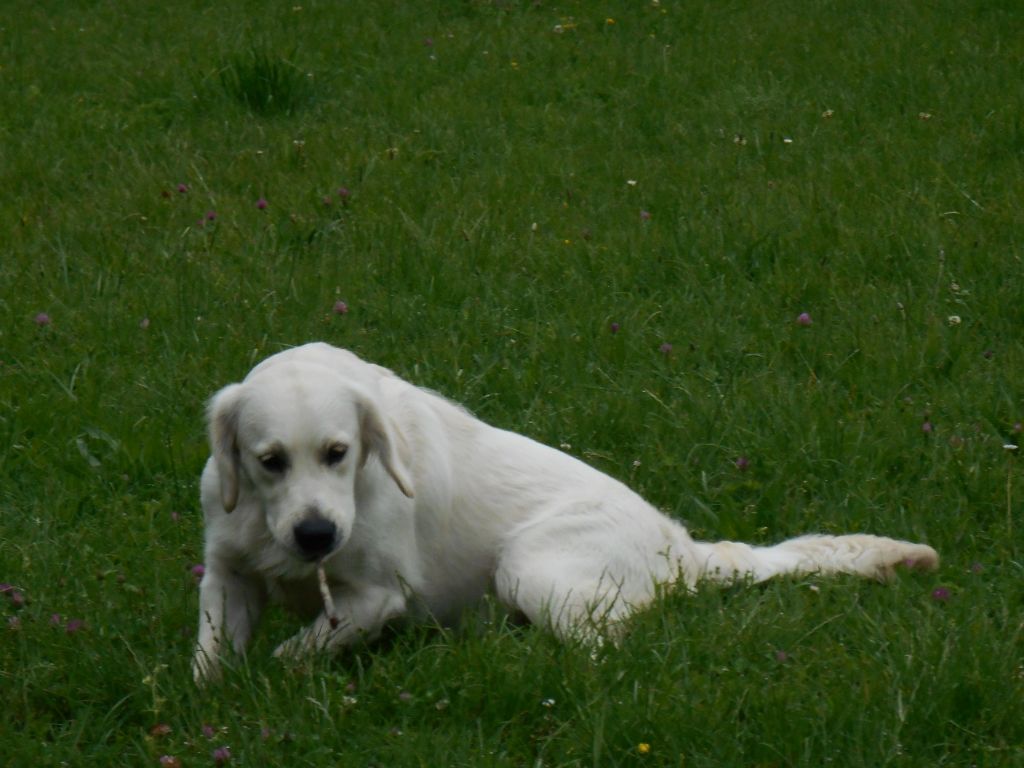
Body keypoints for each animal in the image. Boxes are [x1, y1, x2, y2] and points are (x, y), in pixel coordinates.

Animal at [192, 346, 937, 684]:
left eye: (338, 453)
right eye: (269, 461)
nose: (316, 535)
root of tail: (681, 546)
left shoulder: (377, 596)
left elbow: (295, 650)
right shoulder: (226, 573)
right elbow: (211, 655)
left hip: (528, 565)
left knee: (607, 646)